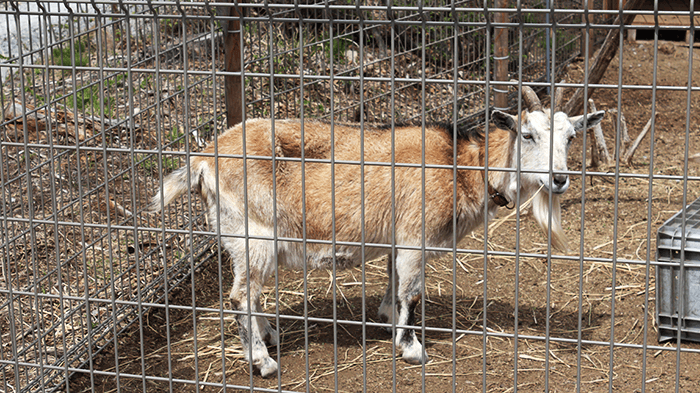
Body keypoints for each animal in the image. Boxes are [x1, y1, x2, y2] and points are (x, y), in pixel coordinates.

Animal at [150, 87, 604, 378]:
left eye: (571, 137)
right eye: (527, 135)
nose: (559, 179)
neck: (464, 167)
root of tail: (204, 160)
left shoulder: (397, 238)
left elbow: (393, 279)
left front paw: (387, 318)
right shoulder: (416, 235)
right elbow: (412, 291)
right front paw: (411, 347)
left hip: (240, 237)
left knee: (251, 293)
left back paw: (267, 335)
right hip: (254, 233)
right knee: (241, 295)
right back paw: (262, 361)